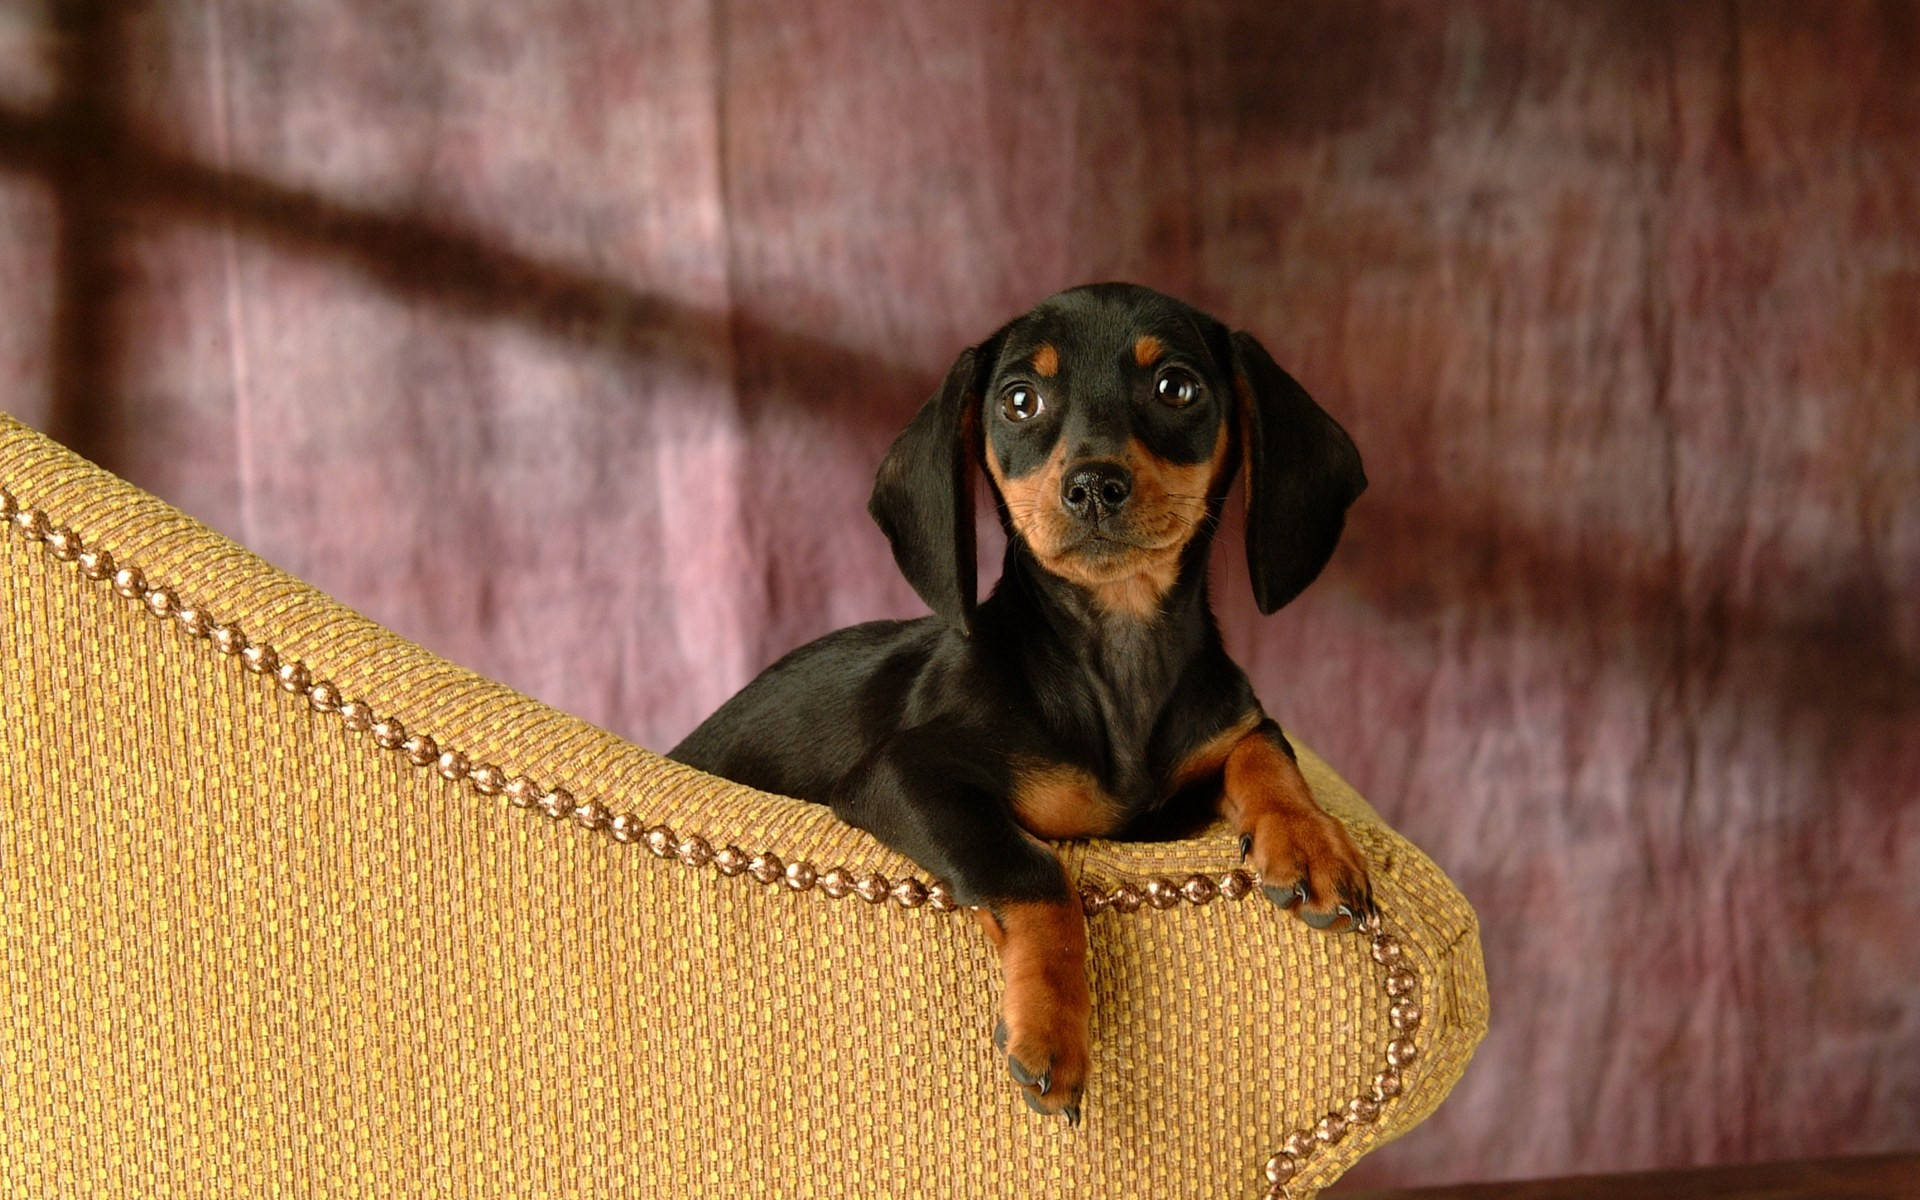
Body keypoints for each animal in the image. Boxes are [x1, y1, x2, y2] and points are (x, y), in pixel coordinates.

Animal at [672, 282, 1367, 1121]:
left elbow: (1264, 745)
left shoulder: (1204, 762)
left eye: (1177, 387)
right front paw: (1053, 1029)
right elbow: (1032, 868)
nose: (1093, 486)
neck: (1114, 659)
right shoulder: (902, 772)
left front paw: (1309, 839)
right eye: (1020, 400)